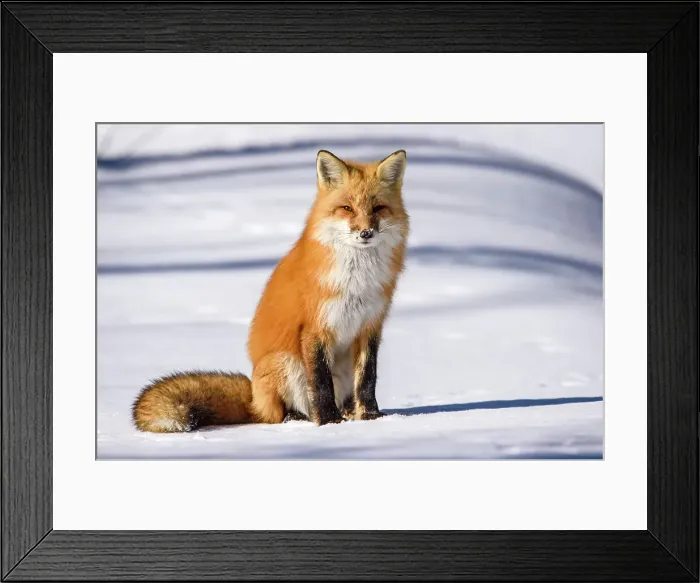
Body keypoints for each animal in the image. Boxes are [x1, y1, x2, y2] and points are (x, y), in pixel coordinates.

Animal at [132, 149, 409, 432]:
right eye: (347, 208)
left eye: (378, 208)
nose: (366, 233)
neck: (357, 281)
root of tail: (253, 399)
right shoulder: (314, 328)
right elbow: (321, 385)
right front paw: (329, 422)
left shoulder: (370, 326)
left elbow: (367, 379)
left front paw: (371, 418)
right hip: (284, 363)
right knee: (277, 415)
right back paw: (296, 418)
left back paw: (348, 412)